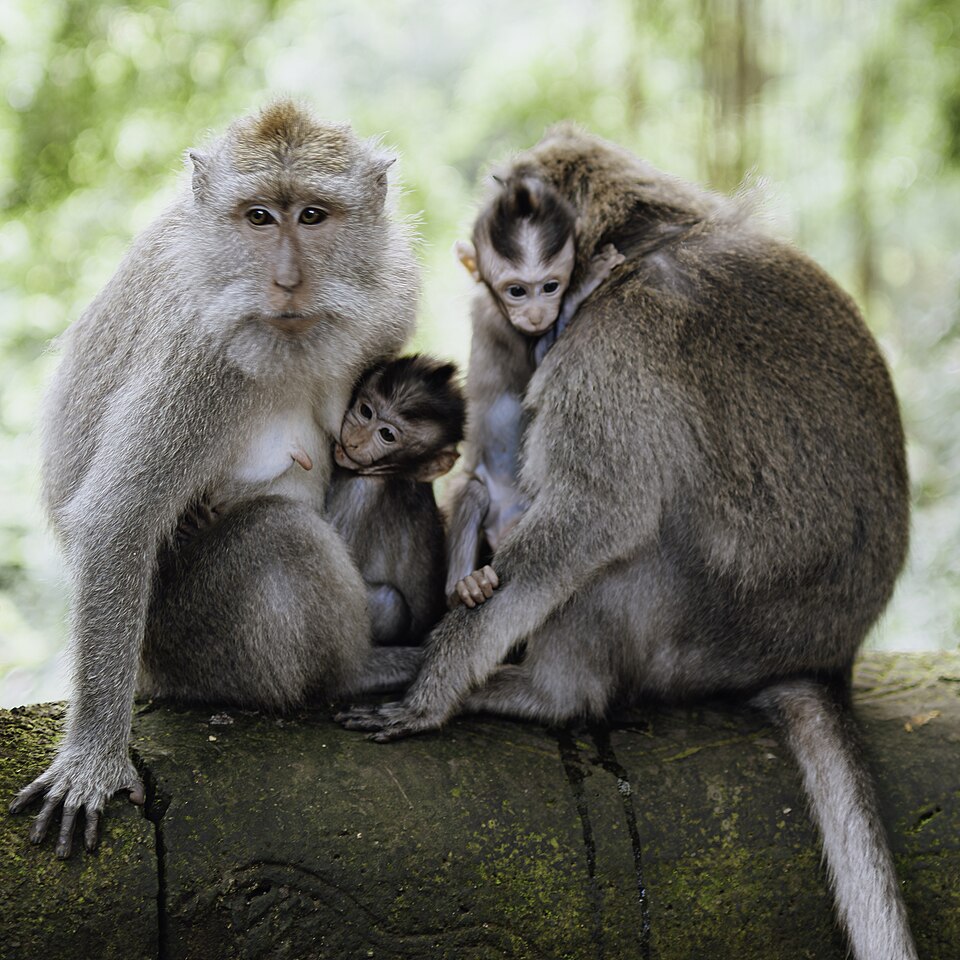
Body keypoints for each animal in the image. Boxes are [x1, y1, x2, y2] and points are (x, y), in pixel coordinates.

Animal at [10, 100, 424, 859]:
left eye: (311, 216)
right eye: (258, 217)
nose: (286, 282)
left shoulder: (391, 295)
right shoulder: (196, 354)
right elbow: (120, 518)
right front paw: (93, 760)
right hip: (189, 641)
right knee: (281, 534)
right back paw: (354, 673)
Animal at [325, 354, 466, 644]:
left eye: (387, 435)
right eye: (366, 411)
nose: (355, 441)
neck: (396, 474)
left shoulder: (362, 491)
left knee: (390, 603)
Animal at [446, 174, 624, 609]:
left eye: (550, 286)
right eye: (516, 291)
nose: (537, 314)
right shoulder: (504, 328)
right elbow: (540, 365)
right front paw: (589, 281)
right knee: (472, 492)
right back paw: (463, 586)